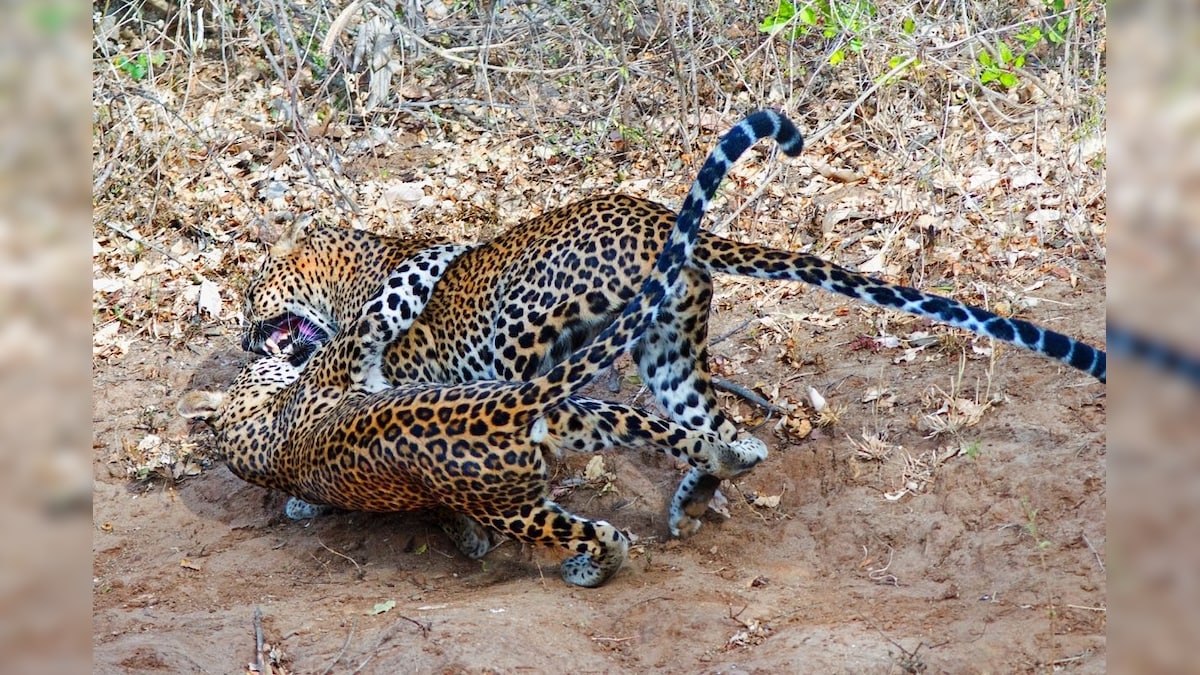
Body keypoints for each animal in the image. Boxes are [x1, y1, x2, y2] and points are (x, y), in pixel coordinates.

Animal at [180, 110, 806, 583]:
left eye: (250, 298)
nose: (243, 339)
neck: (342, 280)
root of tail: (654, 217)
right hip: (668, 352)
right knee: (714, 425)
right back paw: (701, 493)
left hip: (521, 334)